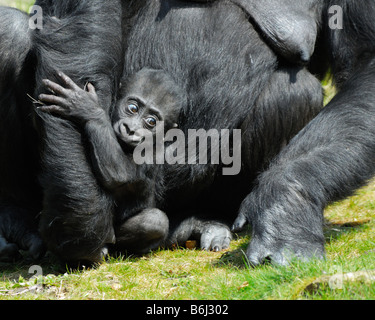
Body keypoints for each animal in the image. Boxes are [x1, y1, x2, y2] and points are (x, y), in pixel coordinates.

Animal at [39, 68, 186, 255]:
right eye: (132, 108)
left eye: (151, 122)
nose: (131, 129)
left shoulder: (153, 151)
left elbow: (120, 174)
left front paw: (90, 110)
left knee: (154, 221)